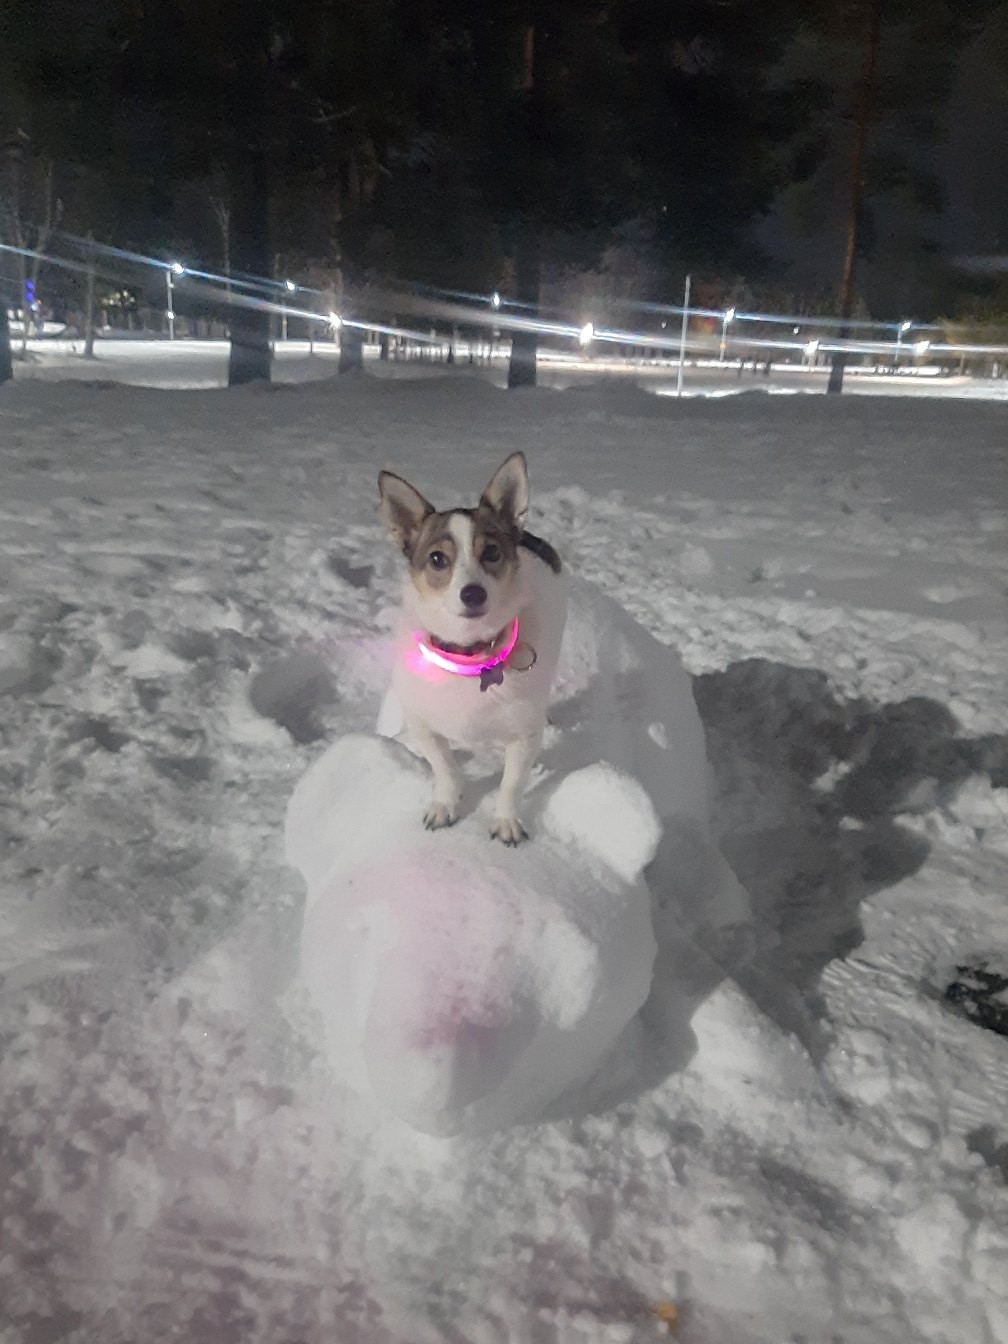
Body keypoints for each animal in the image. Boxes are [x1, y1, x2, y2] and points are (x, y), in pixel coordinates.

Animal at [379, 456, 569, 844]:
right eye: (437, 559)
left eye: (492, 552)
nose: (473, 593)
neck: (468, 651)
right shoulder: (425, 725)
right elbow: (445, 768)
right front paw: (446, 804)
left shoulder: (523, 738)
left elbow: (511, 784)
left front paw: (506, 821)